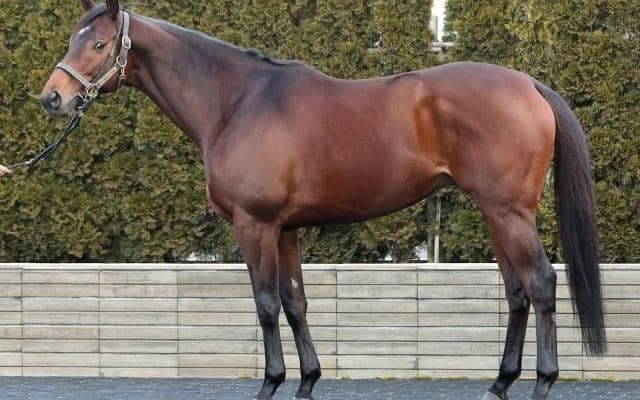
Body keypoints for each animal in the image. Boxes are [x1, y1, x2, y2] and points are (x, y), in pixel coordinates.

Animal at [39, 1, 606, 399]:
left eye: (99, 44)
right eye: (72, 38)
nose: (52, 98)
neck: (237, 103)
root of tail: (529, 85)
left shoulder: (255, 225)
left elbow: (266, 304)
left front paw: (270, 383)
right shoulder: (286, 229)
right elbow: (296, 303)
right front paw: (308, 379)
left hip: (509, 212)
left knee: (540, 282)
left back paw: (542, 381)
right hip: (495, 213)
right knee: (516, 291)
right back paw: (500, 383)